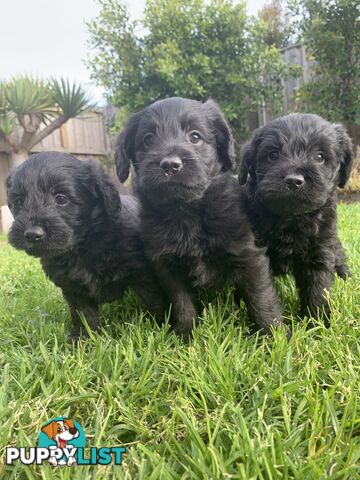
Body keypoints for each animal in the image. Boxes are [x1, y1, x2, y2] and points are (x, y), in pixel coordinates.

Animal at [5, 152, 166, 340]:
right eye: (19, 201)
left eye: (61, 199)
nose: (32, 234)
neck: (84, 245)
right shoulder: (72, 288)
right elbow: (82, 313)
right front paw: (83, 338)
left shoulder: (142, 275)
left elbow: (152, 300)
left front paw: (156, 327)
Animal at [115, 96, 284, 338]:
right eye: (148, 140)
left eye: (195, 137)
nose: (170, 164)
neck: (187, 211)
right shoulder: (166, 266)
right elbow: (181, 302)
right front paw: (185, 335)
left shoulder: (248, 255)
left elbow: (260, 296)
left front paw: (273, 336)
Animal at [238, 113, 352, 318]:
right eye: (273, 155)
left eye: (319, 157)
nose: (294, 181)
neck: (291, 218)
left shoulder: (319, 249)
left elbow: (318, 287)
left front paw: (319, 320)